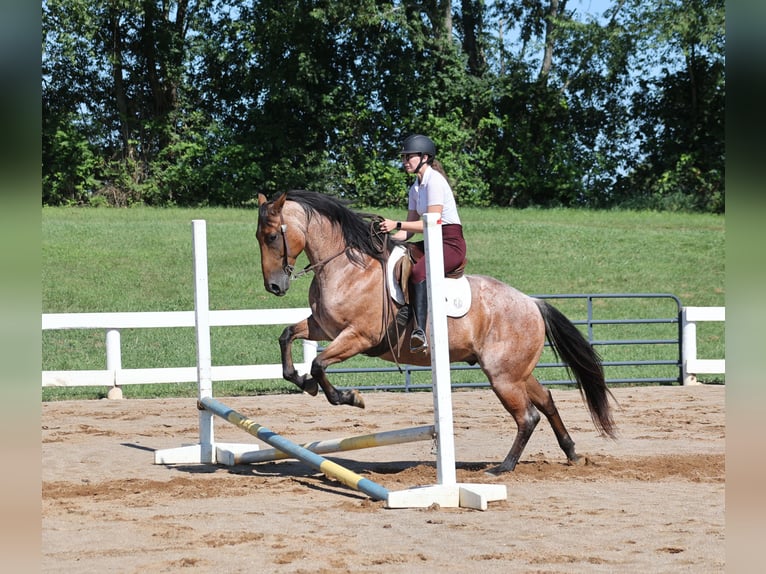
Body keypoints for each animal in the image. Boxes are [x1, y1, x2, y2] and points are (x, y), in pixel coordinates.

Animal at [255, 189, 616, 474]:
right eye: (259, 237)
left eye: (272, 236)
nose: (274, 287)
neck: (346, 268)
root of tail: (532, 302)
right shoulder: (323, 328)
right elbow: (287, 336)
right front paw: (303, 382)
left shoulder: (358, 337)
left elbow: (319, 364)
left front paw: (349, 397)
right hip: (517, 372)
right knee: (547, 402)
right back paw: (571, 453)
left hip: (503, 376)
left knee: (527, 417)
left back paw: (502, 468)